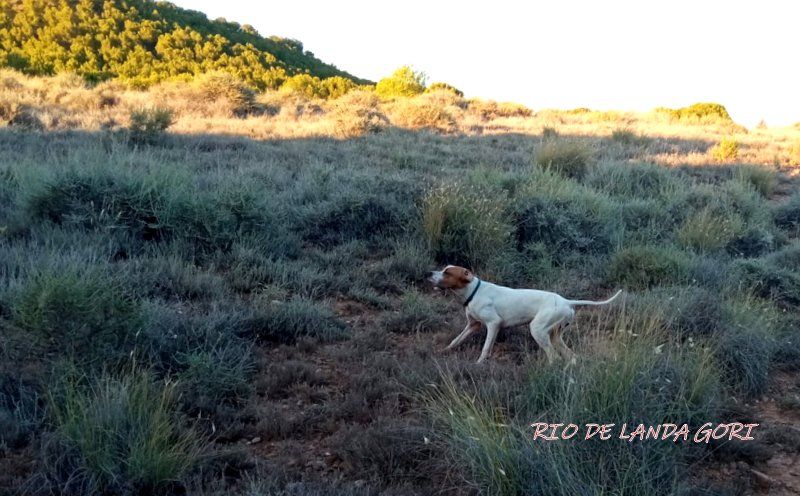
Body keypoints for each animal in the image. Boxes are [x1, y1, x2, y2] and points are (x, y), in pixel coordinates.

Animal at [428, 266, 620, 362]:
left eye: (447, 272)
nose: (428, 273)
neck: (473, 291)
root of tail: (566, 301)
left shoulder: (493, 324)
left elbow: (485, 348)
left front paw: (479, 364)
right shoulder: (472, 325)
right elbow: (456, 340)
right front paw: (443, 351)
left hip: (538, 330)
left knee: (555, 357)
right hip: (555, 335)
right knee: (570, 356)